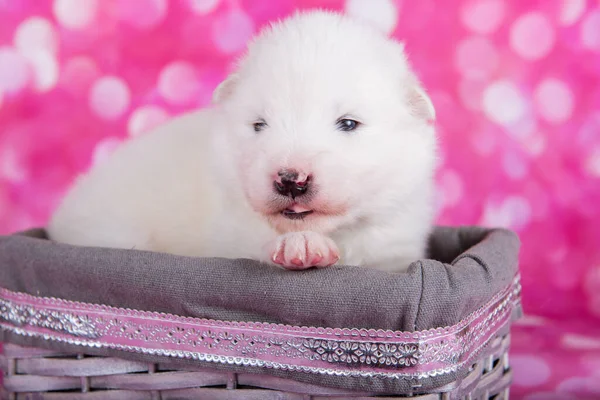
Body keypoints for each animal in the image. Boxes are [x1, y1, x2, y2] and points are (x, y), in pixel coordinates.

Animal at [48, 10, 436, 272]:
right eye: (259, 125)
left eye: (349, 123)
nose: (290, 180)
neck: (337, 232)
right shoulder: (233, 235)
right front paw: (300, 245)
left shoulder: (394, 251)